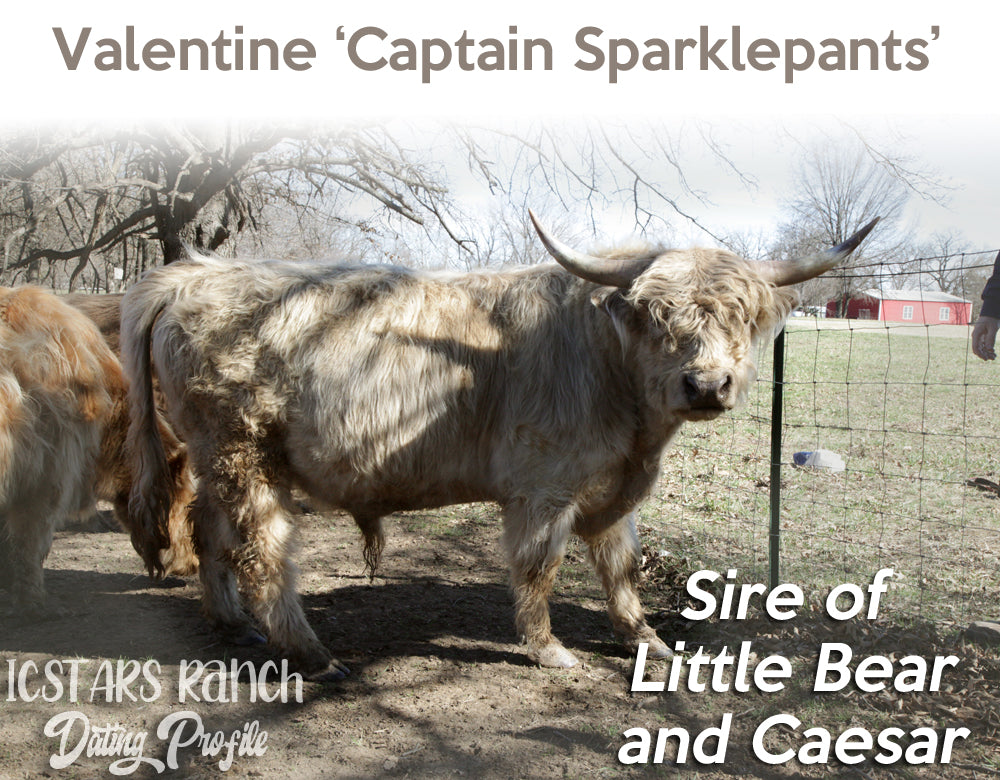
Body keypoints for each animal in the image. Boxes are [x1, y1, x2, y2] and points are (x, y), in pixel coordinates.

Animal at [121, 212, 877, 679]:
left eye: (741, 318)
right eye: (657, 317)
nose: (706, 384)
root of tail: (196, 274)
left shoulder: (616, 487)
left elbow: (621, 567)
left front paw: (648, 641)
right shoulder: (543, 487)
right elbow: (540, 568)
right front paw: (549, 651)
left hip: (218, 458)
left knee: (208, 531)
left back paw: (232, 624)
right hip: (245, 455)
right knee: (263, 553)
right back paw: (313, 655)